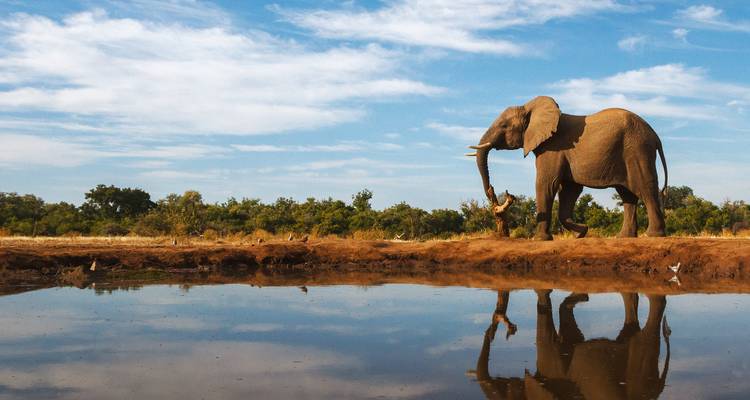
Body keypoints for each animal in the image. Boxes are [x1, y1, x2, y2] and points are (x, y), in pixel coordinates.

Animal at [467, 96, 668, 240]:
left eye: (504, 126)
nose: (492, 191)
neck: (530, 107)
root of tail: (655, 135)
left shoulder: (552, 148)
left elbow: (546, 184)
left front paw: (540, 239)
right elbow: (569, 190)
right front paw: (581, 232)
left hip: (637, 151)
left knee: (645, 188)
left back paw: (652, 235)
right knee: (627, 194)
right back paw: (624, 237)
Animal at [473, 290, 670, 400]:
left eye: (506, 392)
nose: (510, 329)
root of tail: (658, 389)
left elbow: (547, 341)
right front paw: (582, 297)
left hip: (638, 377)